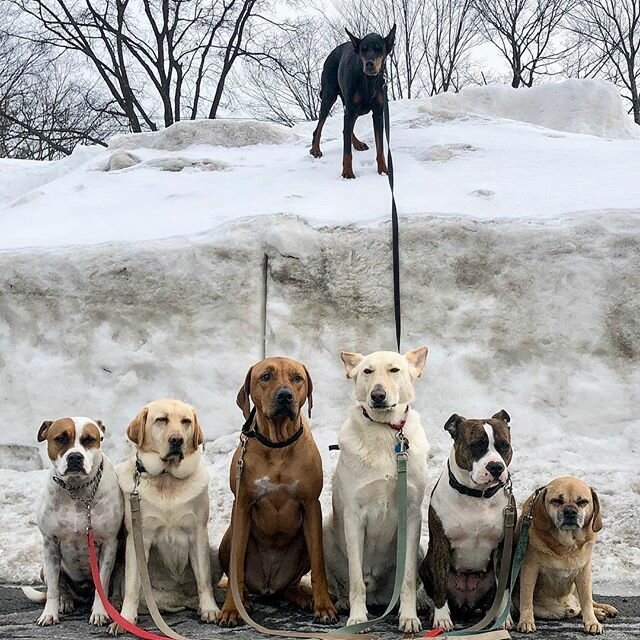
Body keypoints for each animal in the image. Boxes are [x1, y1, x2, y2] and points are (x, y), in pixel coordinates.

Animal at [110, 400, 220, 636]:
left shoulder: (198, 533)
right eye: (161, 420)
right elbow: (132, 586)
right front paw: (125, 619)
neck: (167, 478)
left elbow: (204, 579)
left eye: (186, 421)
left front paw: (210, 609)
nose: (177, 440)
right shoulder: (138, 539)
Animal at [218, 358, 338, 628]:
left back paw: (302, 596)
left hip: (302, 542)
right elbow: (235, 567)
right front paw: (231, 609)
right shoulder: (242, 505)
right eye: (266, 376)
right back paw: (244, 599)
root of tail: (268, 585)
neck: (277, 445)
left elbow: (319, 565)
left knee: (289, 586)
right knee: (239, 575)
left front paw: (324, 606)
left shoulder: (311, 504)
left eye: (297, 378)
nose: (285, 396)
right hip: (228, 537)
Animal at [324, 350, 430, 636]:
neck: (385, 431)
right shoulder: (353, 517)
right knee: (344, 584)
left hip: (419, 547)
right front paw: (358, 618)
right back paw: (341, 603)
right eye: (367, 371)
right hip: (325, 531)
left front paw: (409, 617)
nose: (378, 395)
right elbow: (355, 580)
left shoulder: (411, 516)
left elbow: (407, 579)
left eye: (394, 370)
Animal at [420, 410, 516, 632]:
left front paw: (503, 618)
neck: (476, 496)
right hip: (426, 564)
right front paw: (442, 619)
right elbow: (440, 587)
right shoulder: (441, 545)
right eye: (476, 445)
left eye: (504, 446)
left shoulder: (503, 548)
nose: (496, 467)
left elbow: (504, 588)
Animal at [516, 476, 616, 636]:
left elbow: (587, 601)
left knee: (588, 602)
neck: (566, 546)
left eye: (582, 502)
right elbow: (526, 598)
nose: (570, 511)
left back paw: (602, 610)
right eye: (556, 501)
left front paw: (592, 622)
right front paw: (526, 621)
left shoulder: (584, 572)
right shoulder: (529, 569)